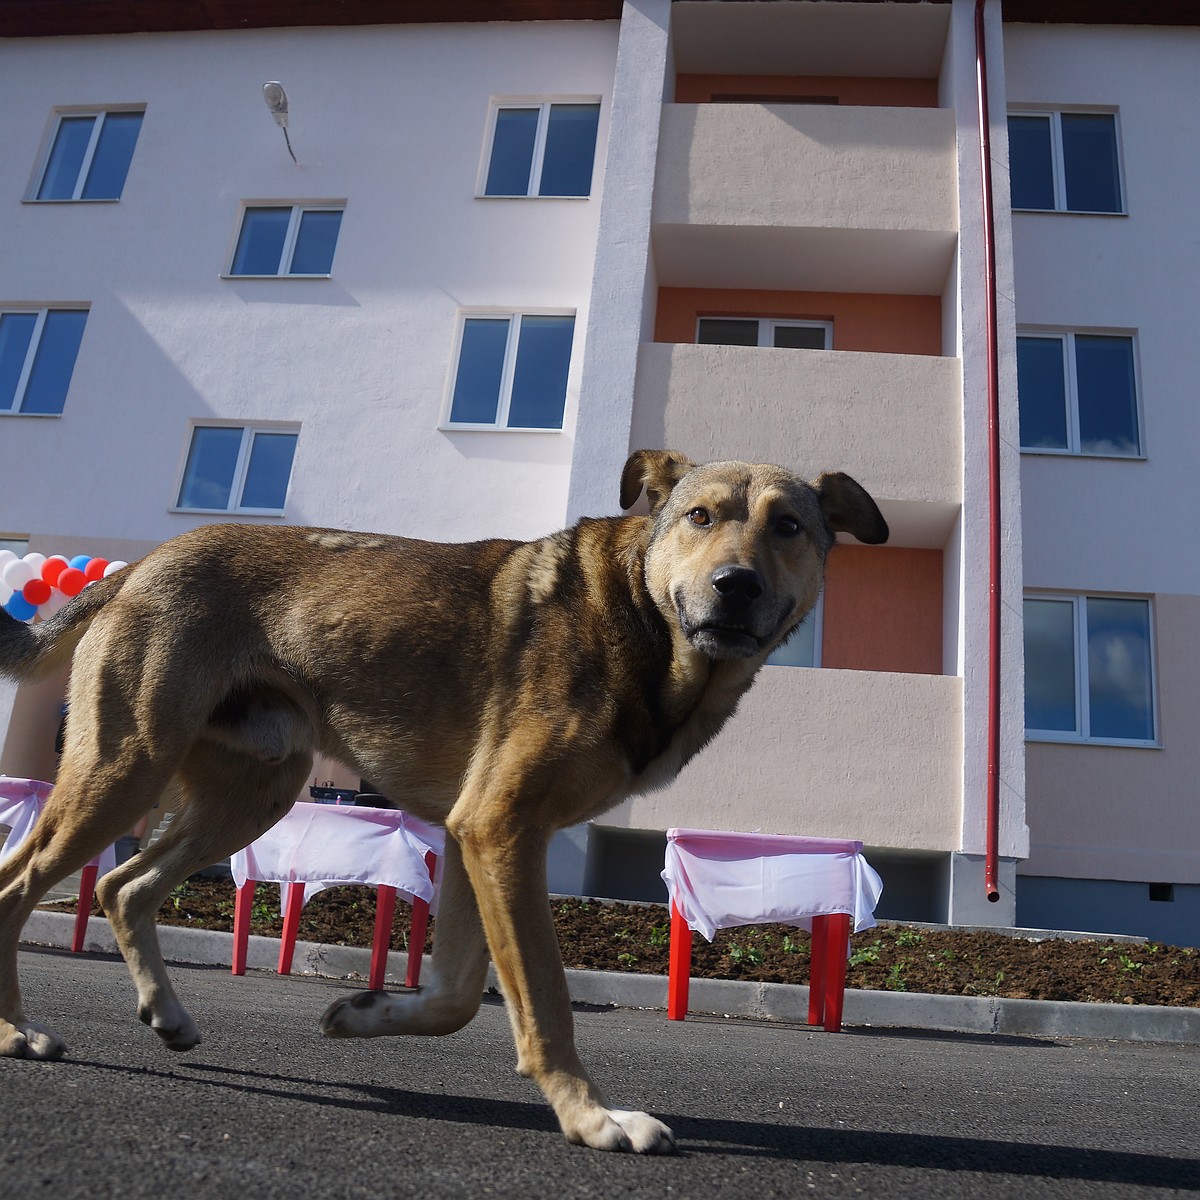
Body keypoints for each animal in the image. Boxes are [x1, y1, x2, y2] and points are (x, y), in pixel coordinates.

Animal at [0, 451, 883, 1152]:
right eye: (701, 516)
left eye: (788, 527)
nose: (736, 586)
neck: (640, 619)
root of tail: (139, 564)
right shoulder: (500, 829)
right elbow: (545, 997)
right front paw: (591, 1117)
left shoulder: (473, 836)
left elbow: (458, 997)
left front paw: (363, 1014)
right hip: (125, 770)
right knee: (17, 888)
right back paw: (14, 1030)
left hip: (251, 791)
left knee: (124, 885)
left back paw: (168, 1014)